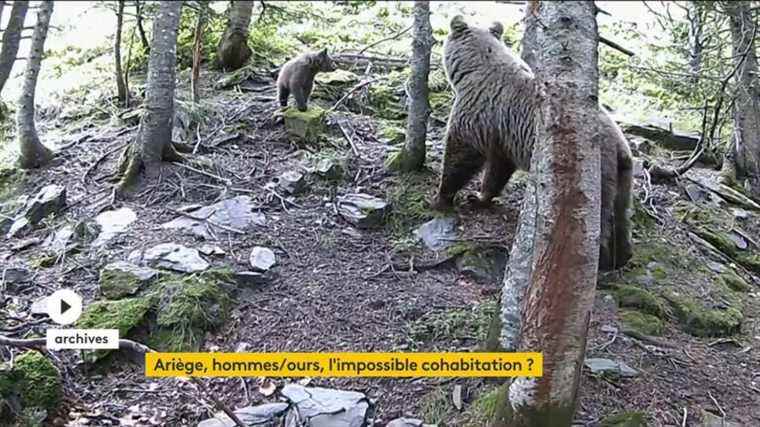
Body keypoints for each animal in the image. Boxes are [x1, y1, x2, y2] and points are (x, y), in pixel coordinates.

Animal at [434, 17, 636, 270]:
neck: (474, 69)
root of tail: (621, 148)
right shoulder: (504, 134)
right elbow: (498, 169)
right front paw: (480, 197)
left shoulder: (478, 112)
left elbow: (462, 152)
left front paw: (443, 196)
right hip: (623, 176)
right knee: (622, 213)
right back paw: (622, 256)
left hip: (592, 172)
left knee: (596, 218)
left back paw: (599, 260)